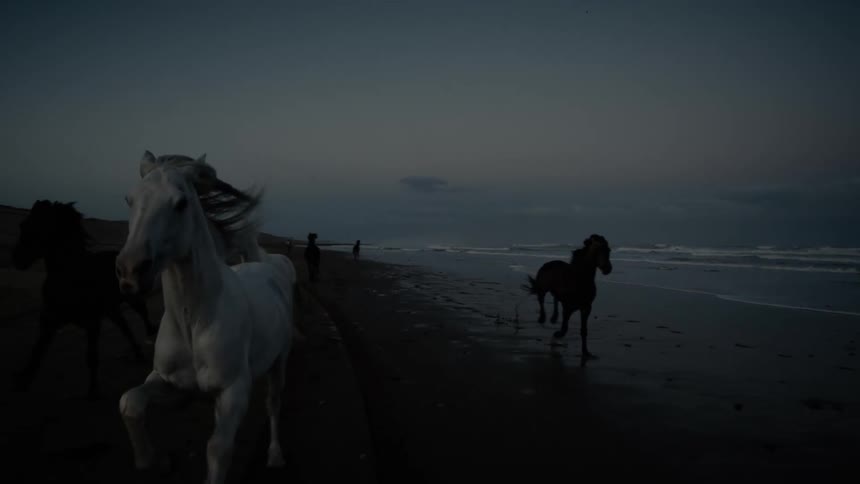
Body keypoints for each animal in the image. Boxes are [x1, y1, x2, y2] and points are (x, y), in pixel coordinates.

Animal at [10, 200, 156, 398]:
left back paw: (150, 337)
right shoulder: (50, 321)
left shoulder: (92, 323)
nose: (17, 258)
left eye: (39, 227)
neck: (72, 275)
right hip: (112, 309)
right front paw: (23, 382)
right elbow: (37, 353)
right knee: (125, 327)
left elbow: (91, 357)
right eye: (23, 225)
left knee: (143, 315)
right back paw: (138, 353)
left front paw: (93, 392)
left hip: (131, 301)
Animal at [115, 151, 298, 484]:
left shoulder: (233, 391)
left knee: (274, 404)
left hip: (279, 363)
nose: (130, 271)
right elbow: (130, 403)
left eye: (181, 203)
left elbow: (218, 450)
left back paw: (275, 456)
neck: (194, 323)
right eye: (129, 199)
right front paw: (148, 459)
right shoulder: (172, 385)